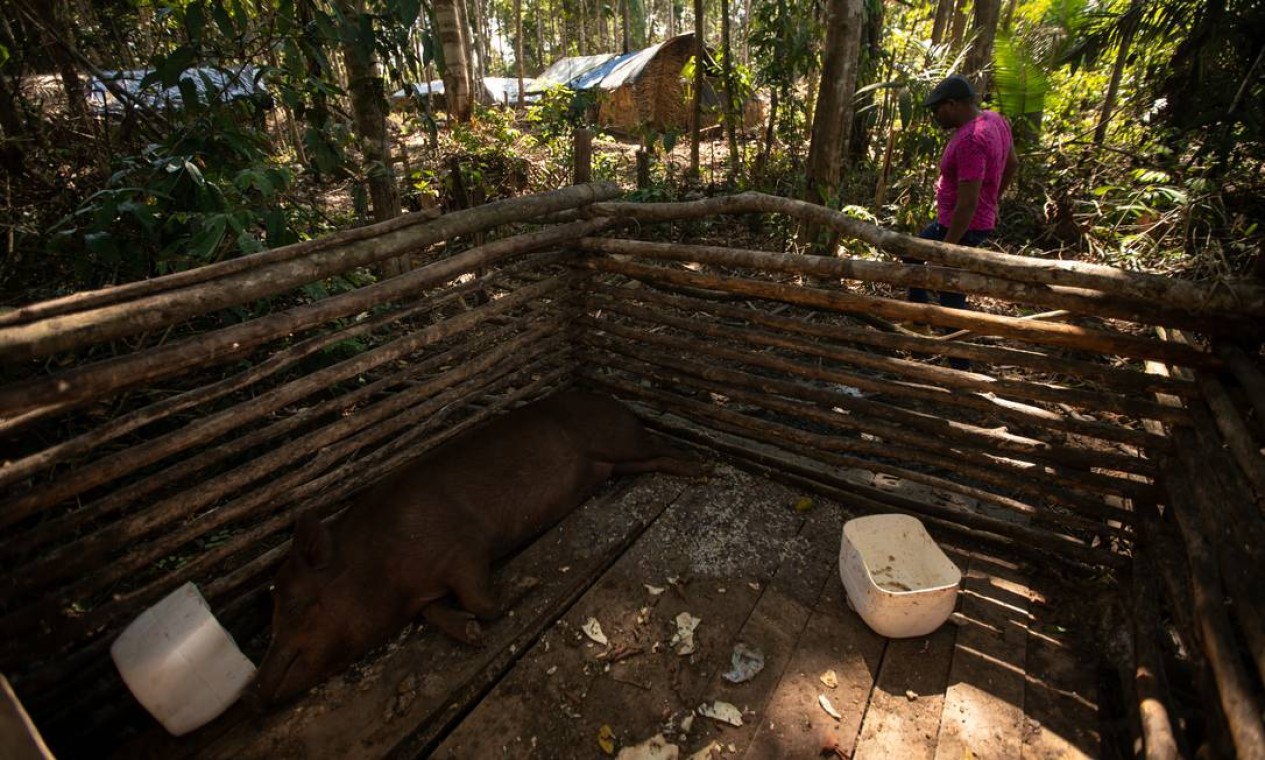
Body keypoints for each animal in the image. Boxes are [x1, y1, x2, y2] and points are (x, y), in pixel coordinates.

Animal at [246, 392, 703, 703]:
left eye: (293, 604)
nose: (256, 692)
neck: (382, 569)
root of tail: (609, 398)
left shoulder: (465, 547)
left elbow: (480, 600)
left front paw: (526, 584)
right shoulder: (423, 594)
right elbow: (438, 613)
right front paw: (468, 634)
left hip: (619, 440)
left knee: (663, 447)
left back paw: (701, 468)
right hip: (616, 462)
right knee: (651, 461)